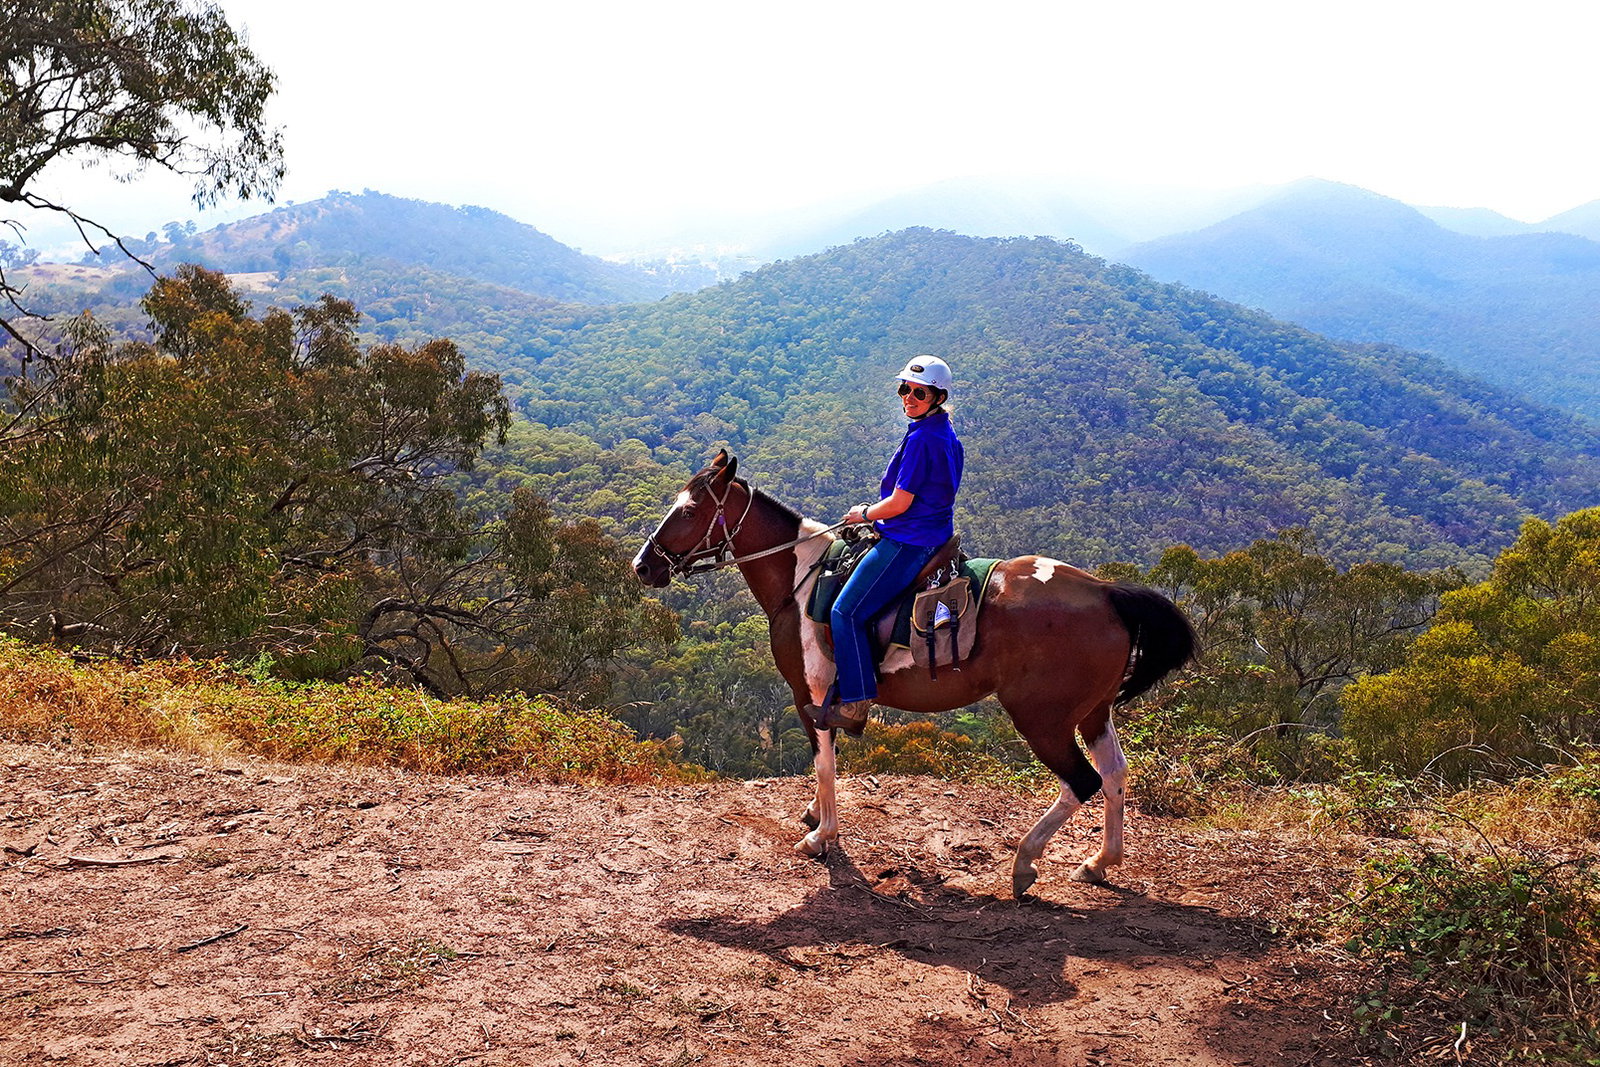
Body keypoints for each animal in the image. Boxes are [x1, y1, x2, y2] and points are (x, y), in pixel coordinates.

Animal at [633, 450, 1195, 897]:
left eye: (688, 510)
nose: (642, 566)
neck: (800, 576)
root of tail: (1105, 592)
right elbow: (823, 765)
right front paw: (815, 815)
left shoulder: (811, 695)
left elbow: (824, 763)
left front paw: (822, 836)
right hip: (1093, 711)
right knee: (1116, 772)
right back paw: (1100, 863)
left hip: (1043, 718)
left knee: (1082, 780)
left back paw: (1024, 862)